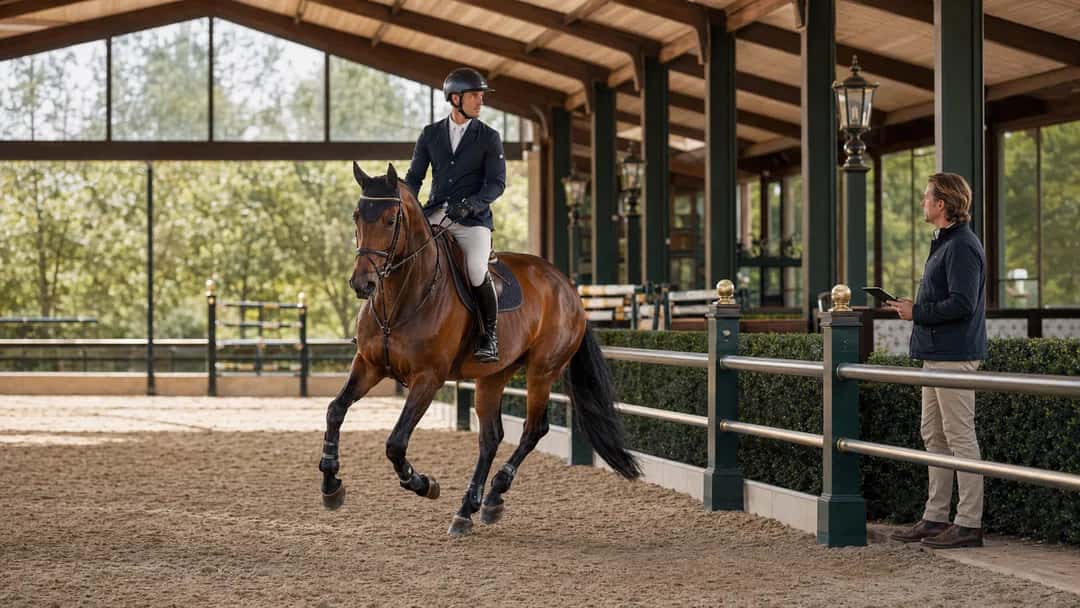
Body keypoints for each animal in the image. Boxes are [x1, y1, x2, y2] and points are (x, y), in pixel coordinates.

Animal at [318, 162, 641, 536]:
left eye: (390, 219)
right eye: (358, 216)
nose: (362, 284)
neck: (400, 298)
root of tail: (568, 287)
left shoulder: (428, 378)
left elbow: (396, 443)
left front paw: (424, 484)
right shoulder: (368, 365)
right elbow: (335, 410)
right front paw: (330, 483)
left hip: (542, 372)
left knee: (533, 429)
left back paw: (494, 494)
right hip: (493, 376)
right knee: (491, 437)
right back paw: (469, 508)